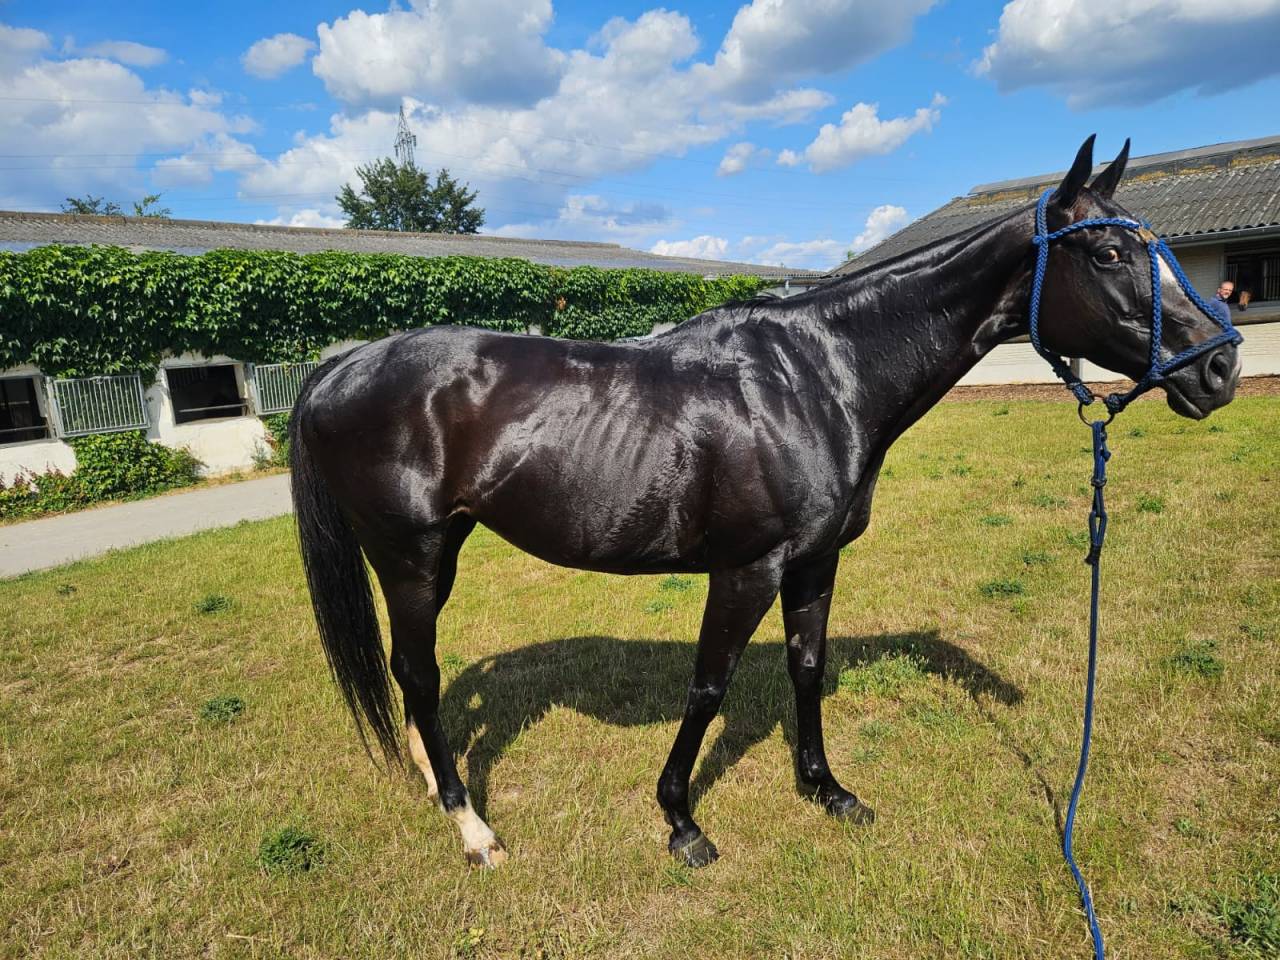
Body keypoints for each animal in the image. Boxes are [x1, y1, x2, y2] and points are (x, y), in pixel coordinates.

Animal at [289, 137, 1241, 868]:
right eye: (1109, 253)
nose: (1220, 367)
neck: (820, 378)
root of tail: (343, 365)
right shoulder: (746, 569)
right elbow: (709, 686)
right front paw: (681, 821)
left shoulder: (815, 562)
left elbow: (805, 667)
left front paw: (827, 789)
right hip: (411, 556)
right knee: (417, 674)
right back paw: (472, 827)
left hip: (436, 553)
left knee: (413, 682)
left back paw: (435, 789)